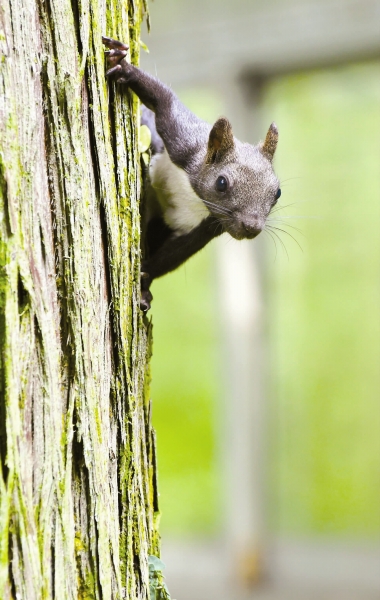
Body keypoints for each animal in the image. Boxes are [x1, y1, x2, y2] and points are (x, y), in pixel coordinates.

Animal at [102, 37, 280, 312]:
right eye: (221, 183)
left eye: (277, 193)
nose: (251, 227)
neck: (195, 196)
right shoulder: (185, 143)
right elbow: (165, 101)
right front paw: (123, 66)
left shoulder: (207, 227)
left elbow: (174, 255)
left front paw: (144, 284)